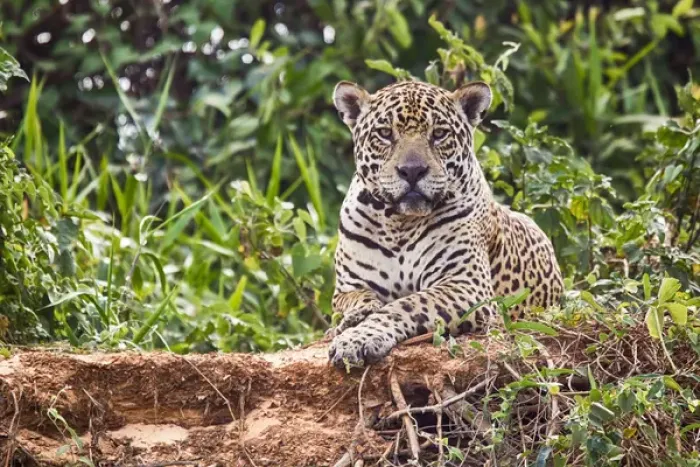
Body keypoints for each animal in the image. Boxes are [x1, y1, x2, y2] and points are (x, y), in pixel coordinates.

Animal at [328, 79, 564, 369]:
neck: (399, 223)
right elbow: (358, 300)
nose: (412, 171)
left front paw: (358, 339)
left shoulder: (466, 284)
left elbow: (406, 305)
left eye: (439, 134)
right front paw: (356, 316)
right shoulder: (348, 287)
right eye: (384, 133)